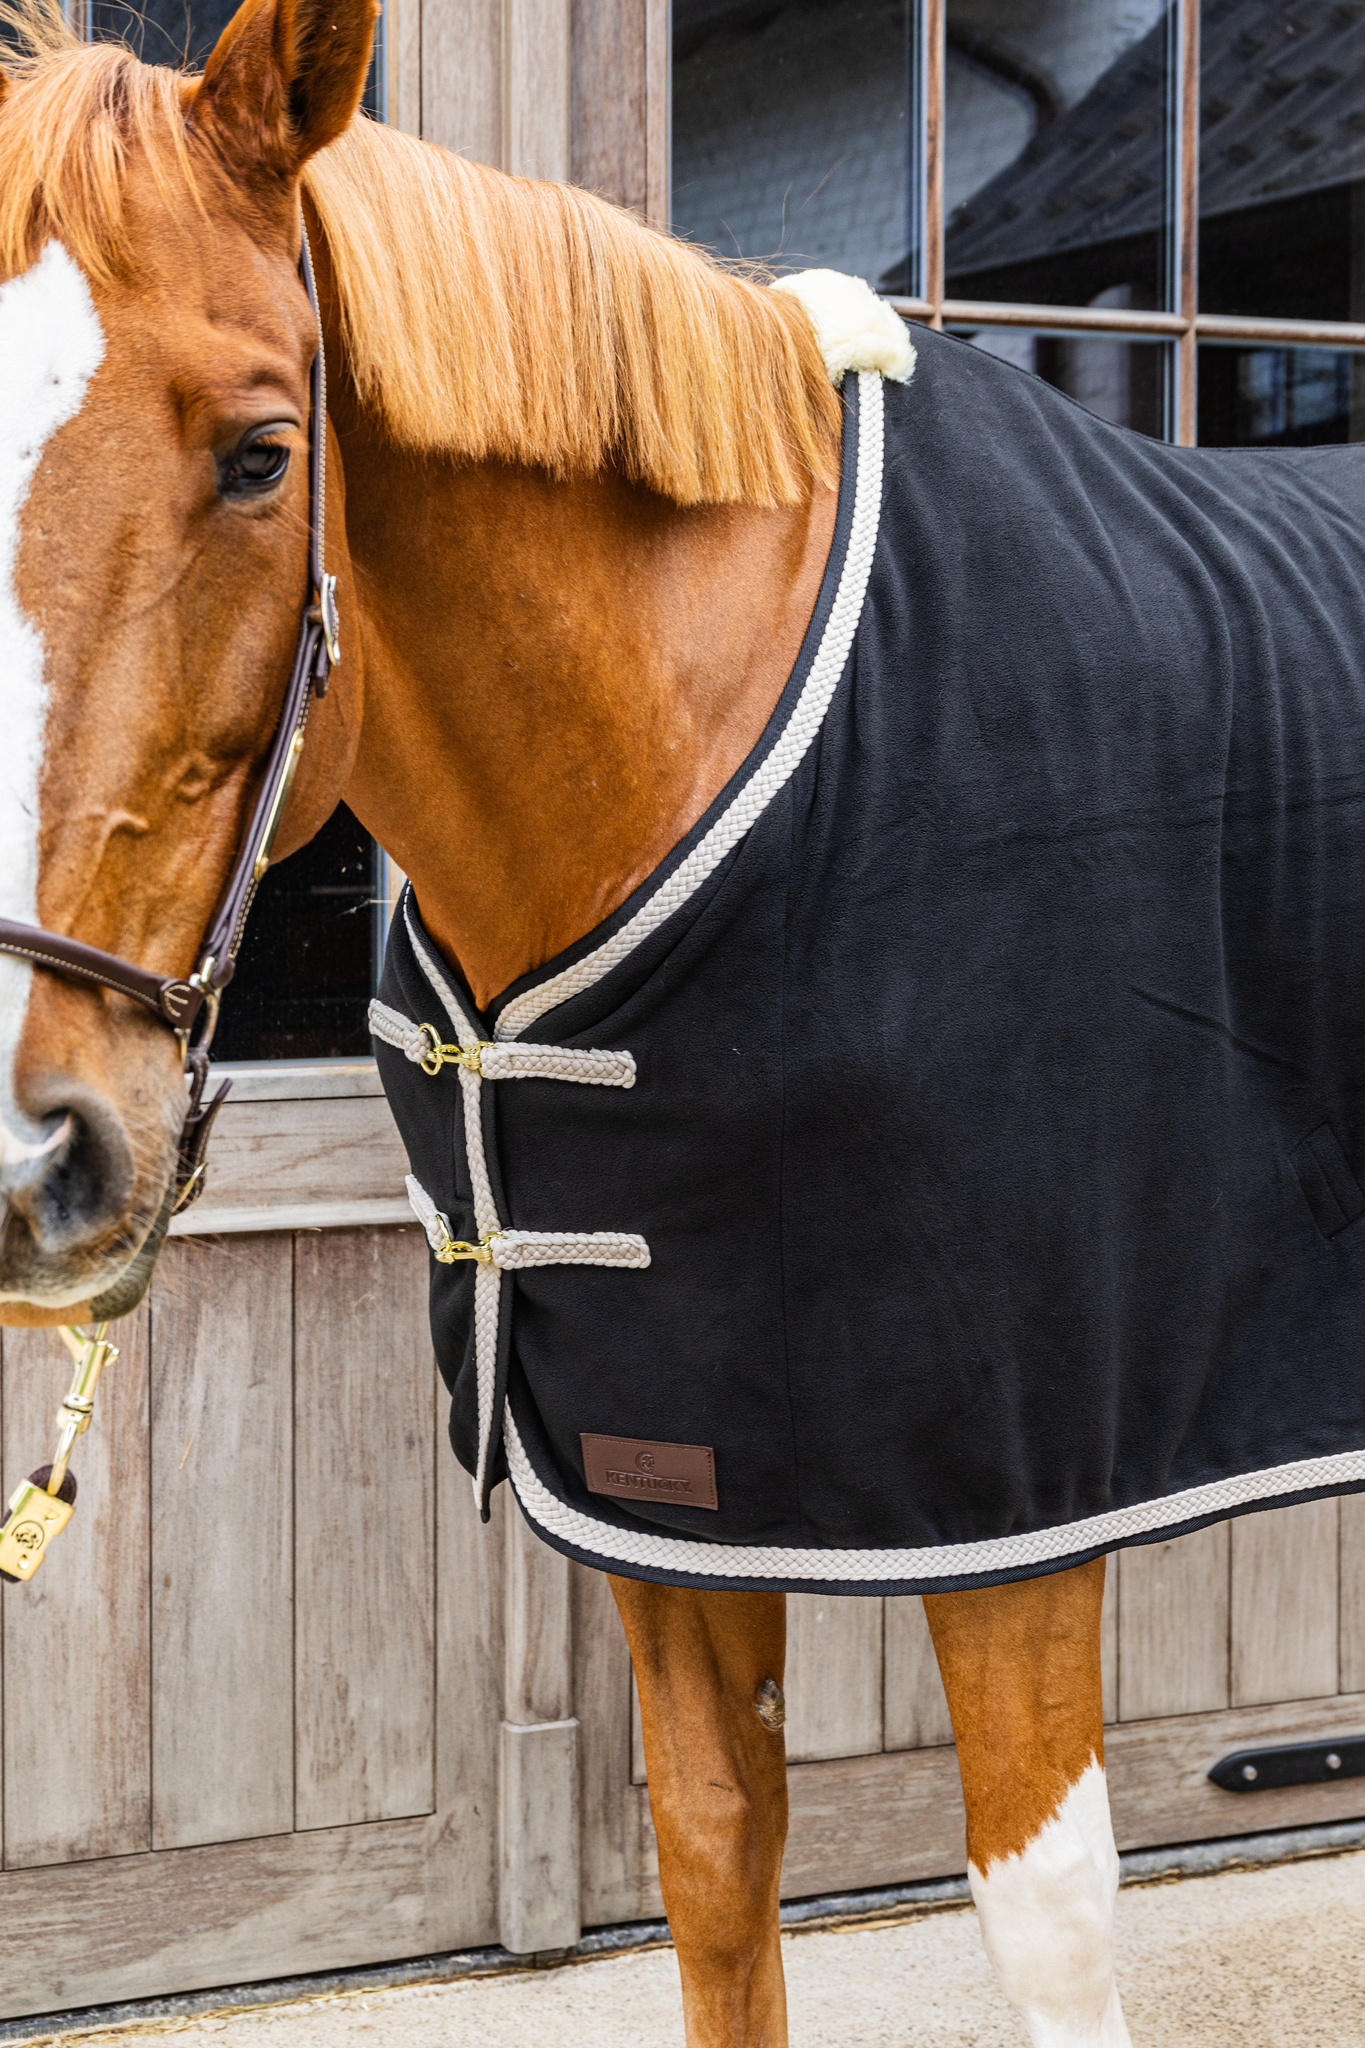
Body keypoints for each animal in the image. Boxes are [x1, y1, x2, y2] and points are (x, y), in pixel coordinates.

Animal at [7, 2, 1365, 2042]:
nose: (28, 1159)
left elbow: (1042, 1906)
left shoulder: (1014, 1488)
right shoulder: (666, 1465)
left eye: (261, 455)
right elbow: (720, 1857)